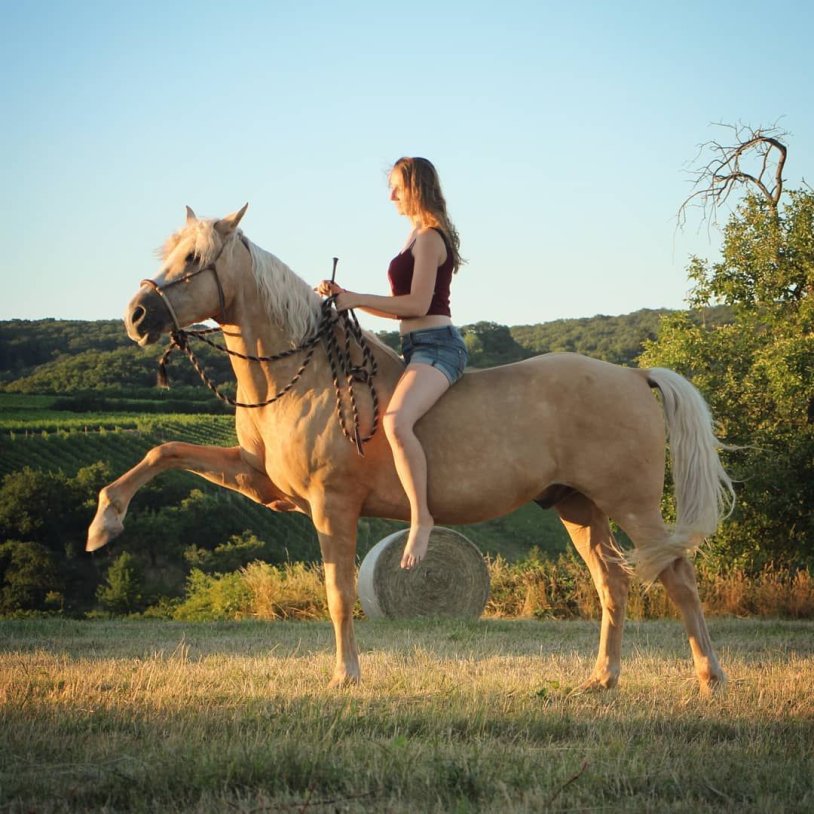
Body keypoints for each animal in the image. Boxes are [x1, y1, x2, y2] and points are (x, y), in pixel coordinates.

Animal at [88, 204, 735, 694]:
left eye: (195, 260)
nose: (137, 316)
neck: (306, 374)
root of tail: (632, 375)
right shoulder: (258, 479)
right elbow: (164, 452)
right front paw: (104, 523)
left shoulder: (331, 505)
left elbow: (339, 593)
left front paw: (346, 676)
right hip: (578, 507)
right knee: (614, 584)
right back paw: (602, 679)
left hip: (632, 506)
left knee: (678, 579)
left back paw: (710, 678)